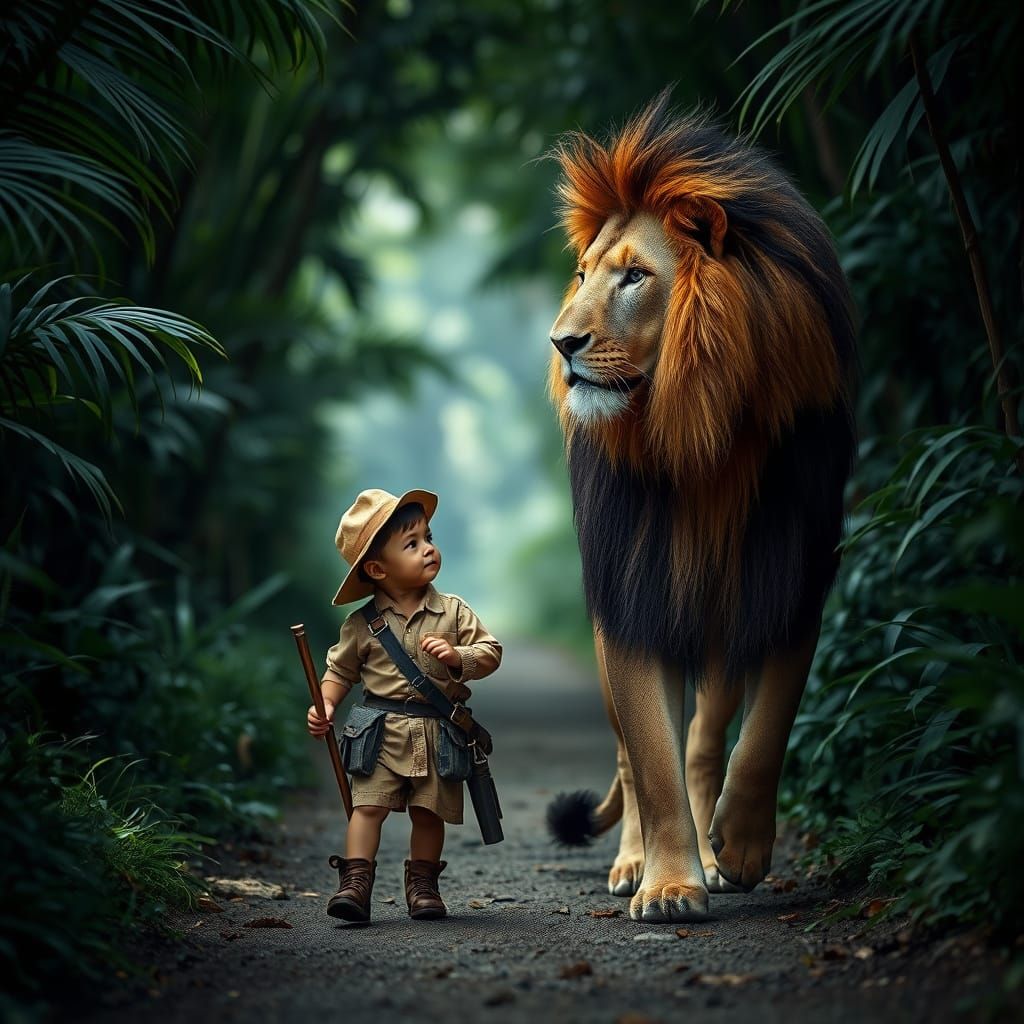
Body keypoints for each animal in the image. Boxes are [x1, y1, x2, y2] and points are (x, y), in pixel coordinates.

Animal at [545, 91, 856, 922]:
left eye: (634, 277)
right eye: (581, 275)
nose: (561, 342)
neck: (699, 429)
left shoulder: (791, 577)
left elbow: (762, 728)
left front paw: (738, 850)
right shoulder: (629, 589)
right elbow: (650, 757)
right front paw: (668, 884)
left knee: (707, 736)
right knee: (632, 754)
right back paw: (633, 863)